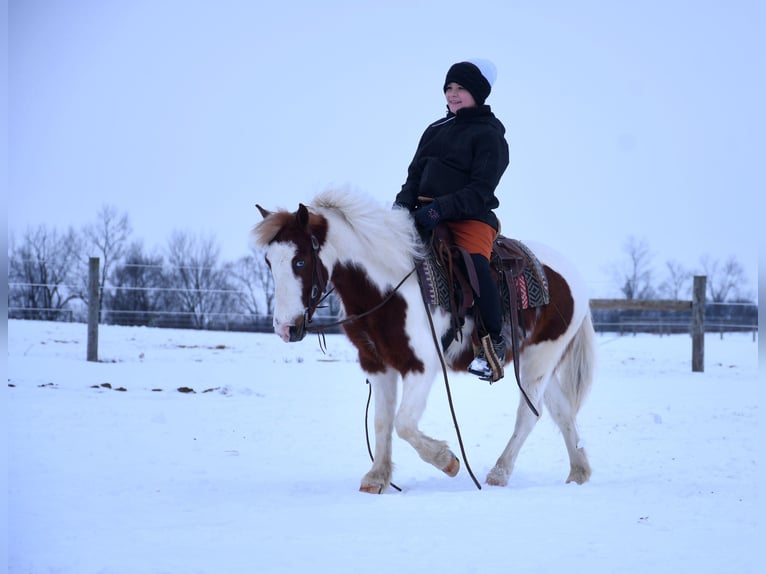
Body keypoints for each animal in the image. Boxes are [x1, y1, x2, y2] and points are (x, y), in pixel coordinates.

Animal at [255, 189, 596, 496]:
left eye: (300, 262)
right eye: (269, 261)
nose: (285, 328)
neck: (388, 286)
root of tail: (572, 275)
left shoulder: (421, 367)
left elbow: (403, 423)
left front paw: (447, 460)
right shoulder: (377, 365)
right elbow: (382, 422)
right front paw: (377, 477)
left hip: (541, 358)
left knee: (528, 414)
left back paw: (499, 473)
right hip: (536, 361)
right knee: (560, 411)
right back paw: (578, 472)